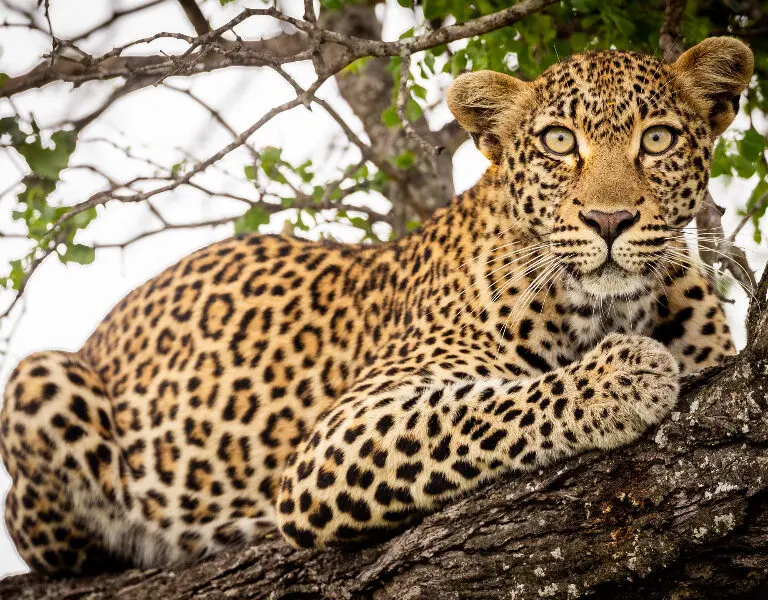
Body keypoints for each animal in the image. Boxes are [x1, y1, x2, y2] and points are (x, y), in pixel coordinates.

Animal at [0, 37, 752, 574]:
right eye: (558, 142)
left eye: (657, 139)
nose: (609, 220)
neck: (613, 308)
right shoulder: (341, 436)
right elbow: (484, 408)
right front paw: (623, 376)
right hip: (40, 378)